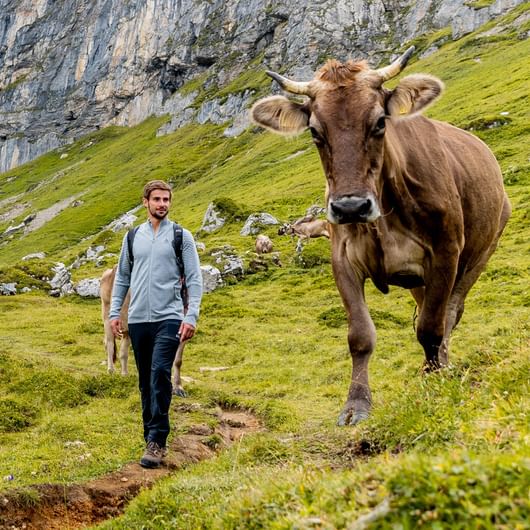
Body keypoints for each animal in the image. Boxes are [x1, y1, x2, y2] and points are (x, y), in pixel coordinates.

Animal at [100, 266, 189, 394]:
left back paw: (125, 375)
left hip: (126, 328)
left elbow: (177, 361)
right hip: (107, 316)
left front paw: (178, 387)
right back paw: (111, 371)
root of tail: (111, 270)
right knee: (110, 345)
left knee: (123, 351)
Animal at [251, 46, 508, 424]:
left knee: (449, 314)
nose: (351, 207)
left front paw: (434, 385)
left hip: (479, 255)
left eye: (380, 122)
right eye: (314, 131)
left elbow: (431, 328)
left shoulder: (445, 253)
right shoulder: (342, 259)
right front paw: (356, 404)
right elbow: (361, 335)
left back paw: (441, 367)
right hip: (421, 280)